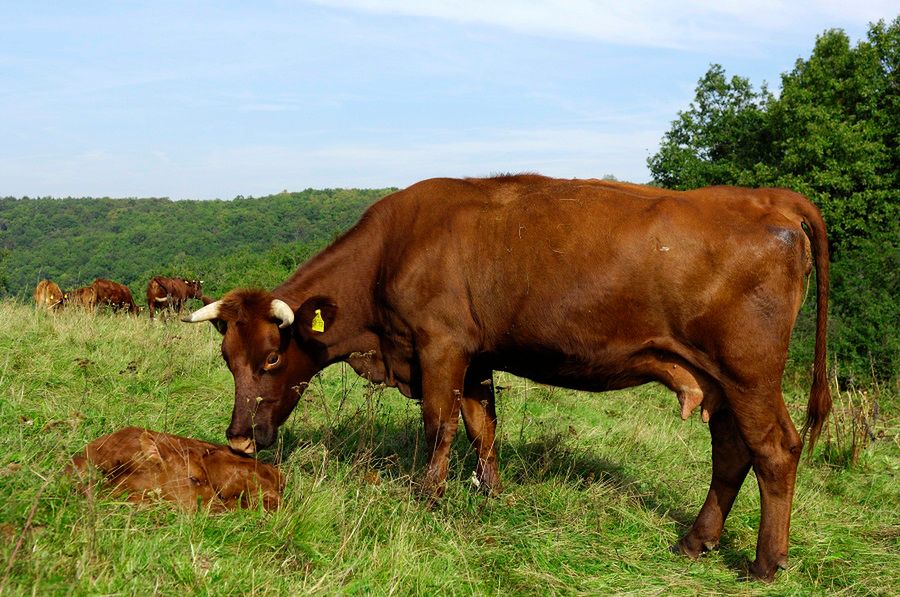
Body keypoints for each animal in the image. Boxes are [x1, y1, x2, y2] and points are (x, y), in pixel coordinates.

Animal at [183, 175, 828, 580]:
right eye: (227, 358)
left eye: (271, 358)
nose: (238, 438)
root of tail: (767, 199)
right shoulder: (476, 356)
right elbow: (481, 426)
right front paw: (491, 493)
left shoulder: (441, 345)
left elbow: (440, 424)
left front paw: (428, 498)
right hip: (717, 379)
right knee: (731, 453)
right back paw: (696, 540)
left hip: (749, 373)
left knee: (775, 450)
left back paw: (766, 563)